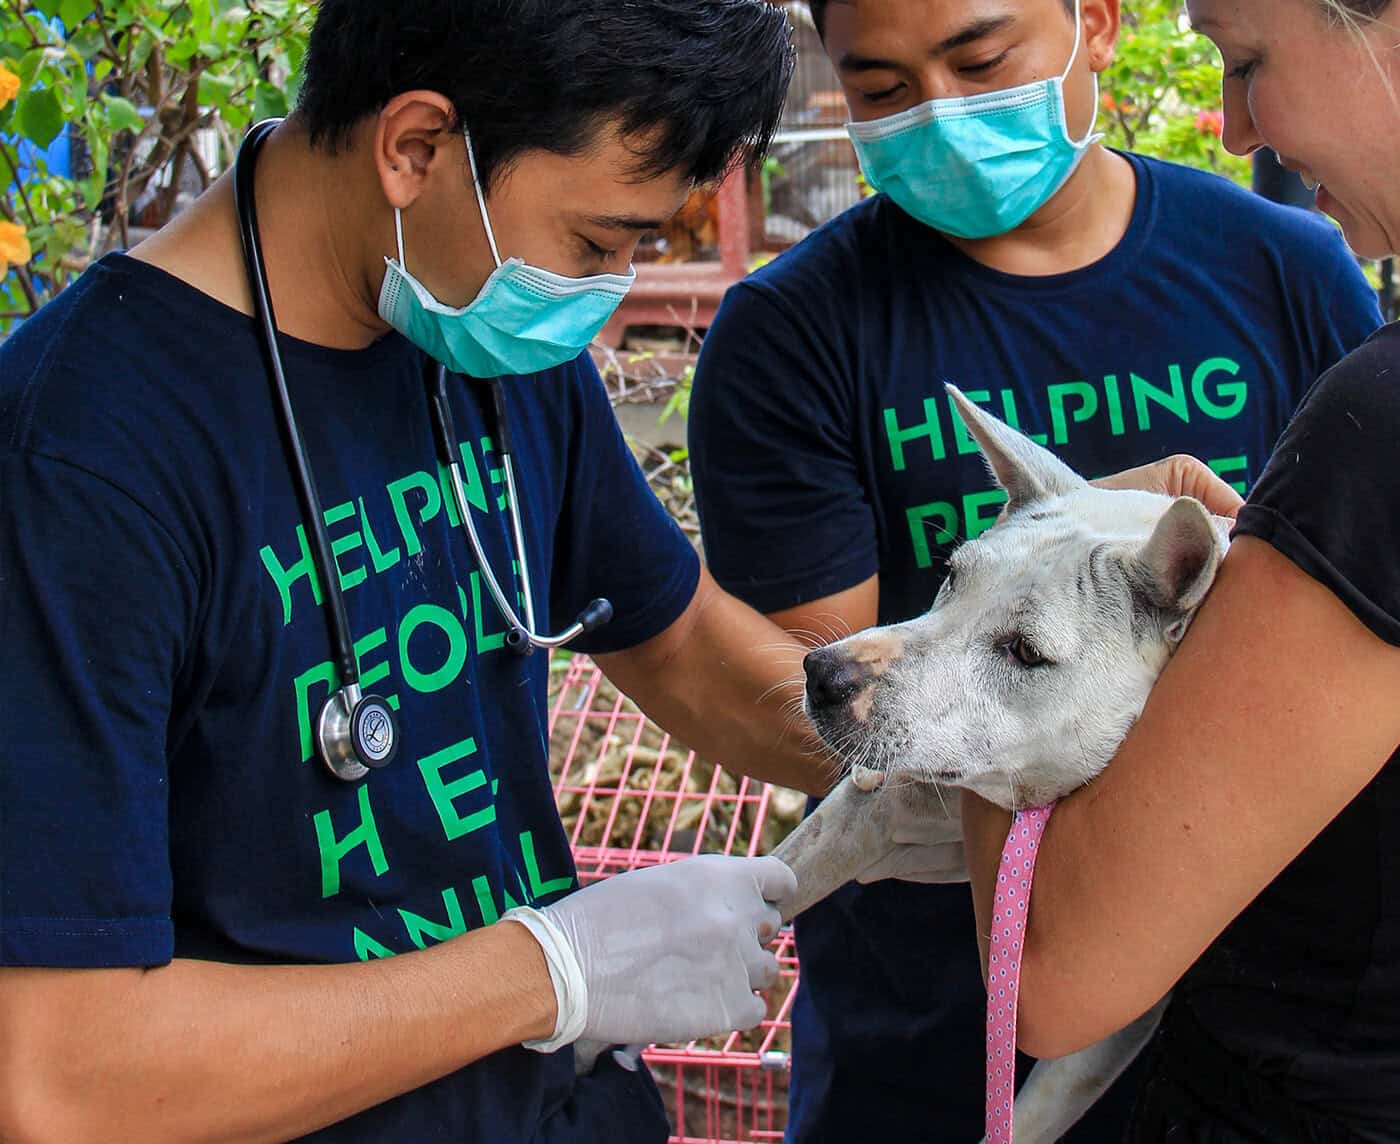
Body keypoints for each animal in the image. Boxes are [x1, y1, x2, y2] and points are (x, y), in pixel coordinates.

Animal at [772, 386, 1232, 1142]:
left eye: (1023, 651)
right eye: (951, 577)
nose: (825, 675)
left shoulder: (1113, 1007)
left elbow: (1026, 1119)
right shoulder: (876, 805)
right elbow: (778, 874)